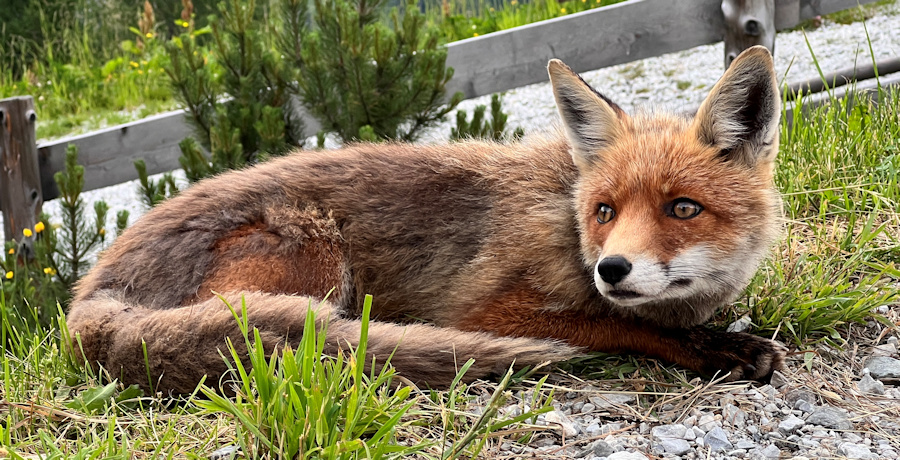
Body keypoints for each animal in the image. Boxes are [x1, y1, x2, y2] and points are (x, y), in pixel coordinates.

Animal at [68, 45, 788, 392]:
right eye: (605, 211)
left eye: (683, 208)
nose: (612, 268)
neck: (564, 221)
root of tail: (89, 291)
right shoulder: (487, 309)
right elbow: (621, 326)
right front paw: (714, 349)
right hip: (318, 255)